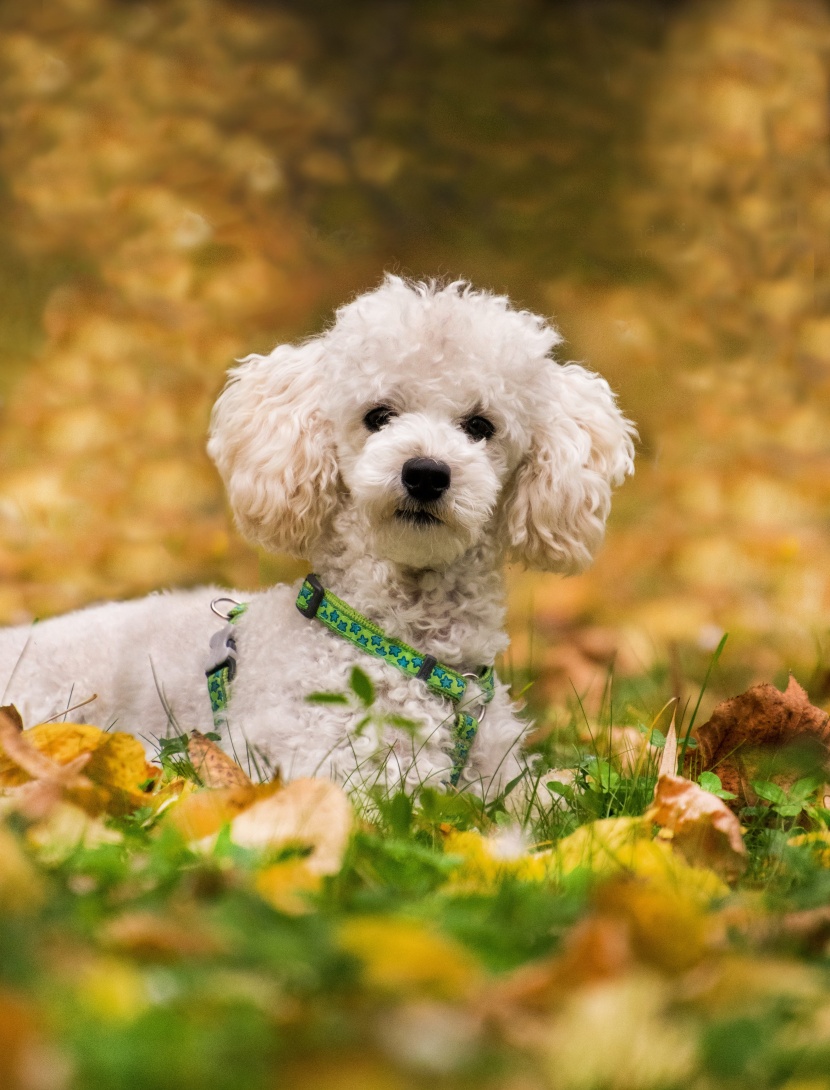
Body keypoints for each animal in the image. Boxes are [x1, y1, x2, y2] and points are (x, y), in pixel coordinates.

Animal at [0, 276, 632, 797]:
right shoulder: (328, 770)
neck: (408, 646)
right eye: (378, 416)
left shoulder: (502, 780)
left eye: (480, 426)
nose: (425, 473)